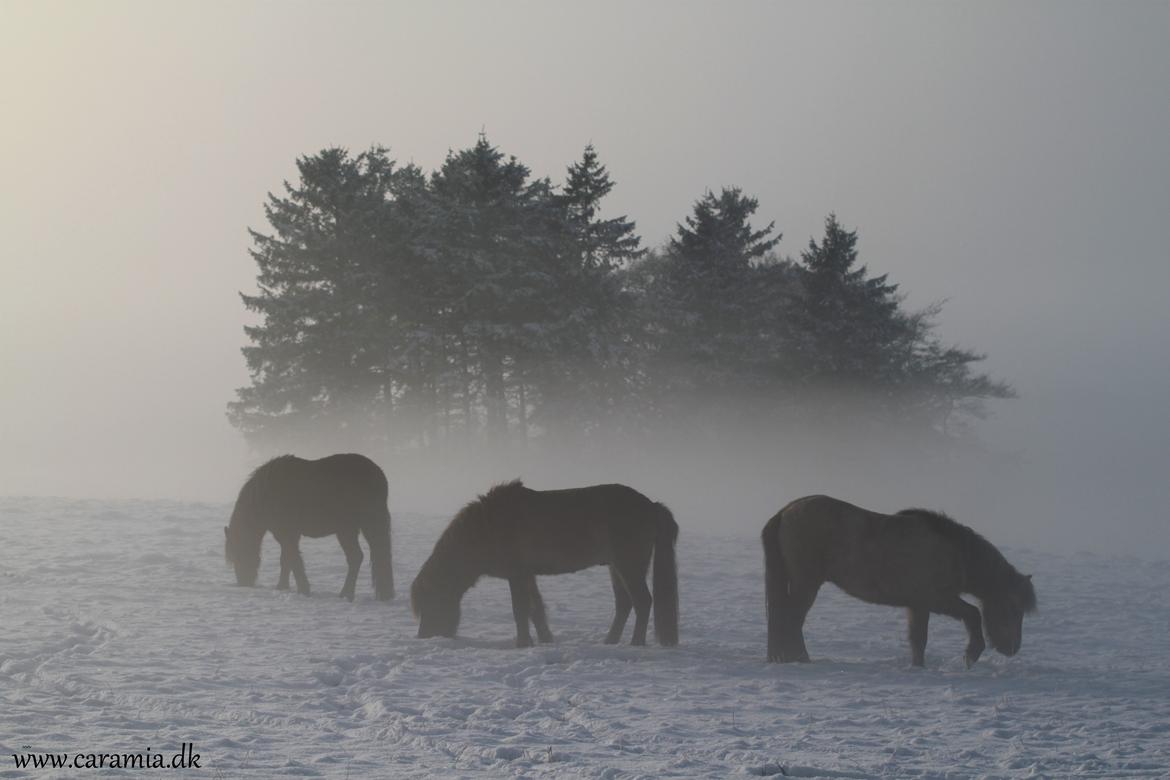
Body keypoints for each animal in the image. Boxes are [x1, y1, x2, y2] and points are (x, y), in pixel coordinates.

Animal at [221, 453, 395, 603]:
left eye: (239, 554)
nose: (244, 582)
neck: (266, 493)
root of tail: (378, 475)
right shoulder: (290, 536)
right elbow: (286, 560)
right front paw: (282, 587)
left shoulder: (286, 535)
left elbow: (294, 560)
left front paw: (303, 589)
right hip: (356, 529)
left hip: (351, 529)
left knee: (355, 558)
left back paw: (347, 594)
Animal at [414, 481, 683, 645]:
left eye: (429, 605)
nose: (424, 637)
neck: (487, 527)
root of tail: (650, 505)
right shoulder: (527, 575)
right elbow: (536, 610)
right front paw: (544, 640)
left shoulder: (517, 575)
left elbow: (520, 609)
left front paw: (523, 643)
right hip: (616, 567)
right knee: (625, 604)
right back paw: (610, 641)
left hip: (629, 566)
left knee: (642, 602)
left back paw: (636, 643)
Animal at [762, 498, 1038, 668]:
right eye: (1014, 608)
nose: (1013, 648)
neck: (954, 551)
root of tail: (786, 512)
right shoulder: (937, 600)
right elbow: (972, 614)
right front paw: (971, 654)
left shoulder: (918, 605)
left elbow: (918, 640)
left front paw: (918, 666)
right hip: (806, 584)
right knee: (791, 620)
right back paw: (800, 658)